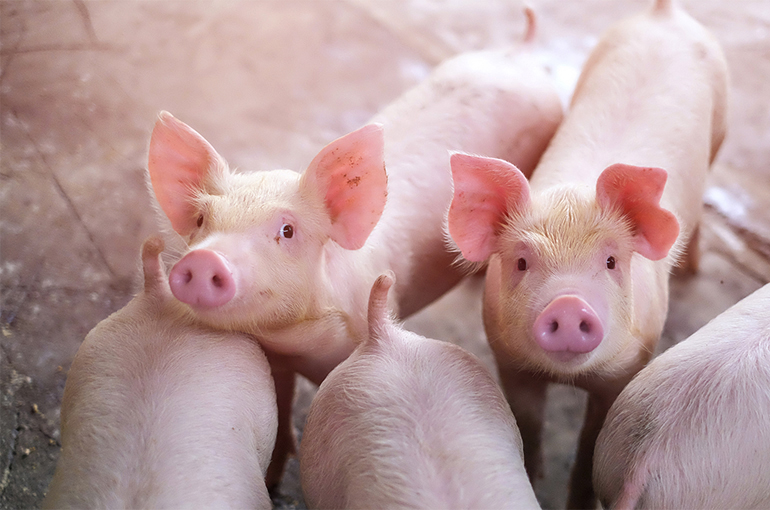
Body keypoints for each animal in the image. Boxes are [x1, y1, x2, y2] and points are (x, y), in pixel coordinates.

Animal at [446, 0, 728, 507]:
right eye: (522, 261)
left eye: (611, 261)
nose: (568, 304)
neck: (569, 379)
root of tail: (663, 13)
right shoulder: (509, 362)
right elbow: (528, 427)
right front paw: (534, 477)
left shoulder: (629, 364)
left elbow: (590, 442)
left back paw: (693, 269)